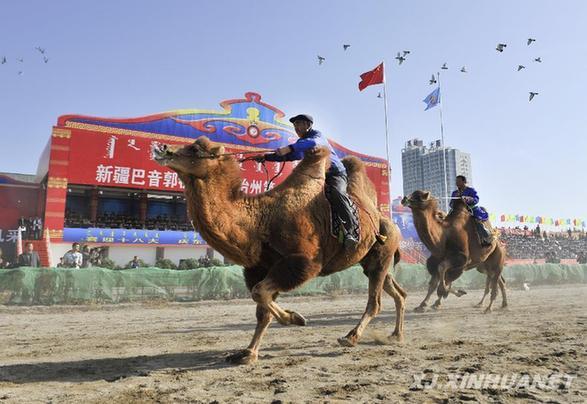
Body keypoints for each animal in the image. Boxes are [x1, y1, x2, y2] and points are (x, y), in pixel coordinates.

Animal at [154, 137, 406, 364]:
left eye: (195, 149)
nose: (162, 148)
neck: (260, 223)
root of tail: (390, 223)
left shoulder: (303, 262)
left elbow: (260, 293)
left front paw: (295, 318)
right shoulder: (259, 268)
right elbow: (261, 309)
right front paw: (248, 353)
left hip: (381, 253)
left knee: (375, 301)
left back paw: (351, 337)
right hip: (371, 261)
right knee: (397, 292)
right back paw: (396, 335)